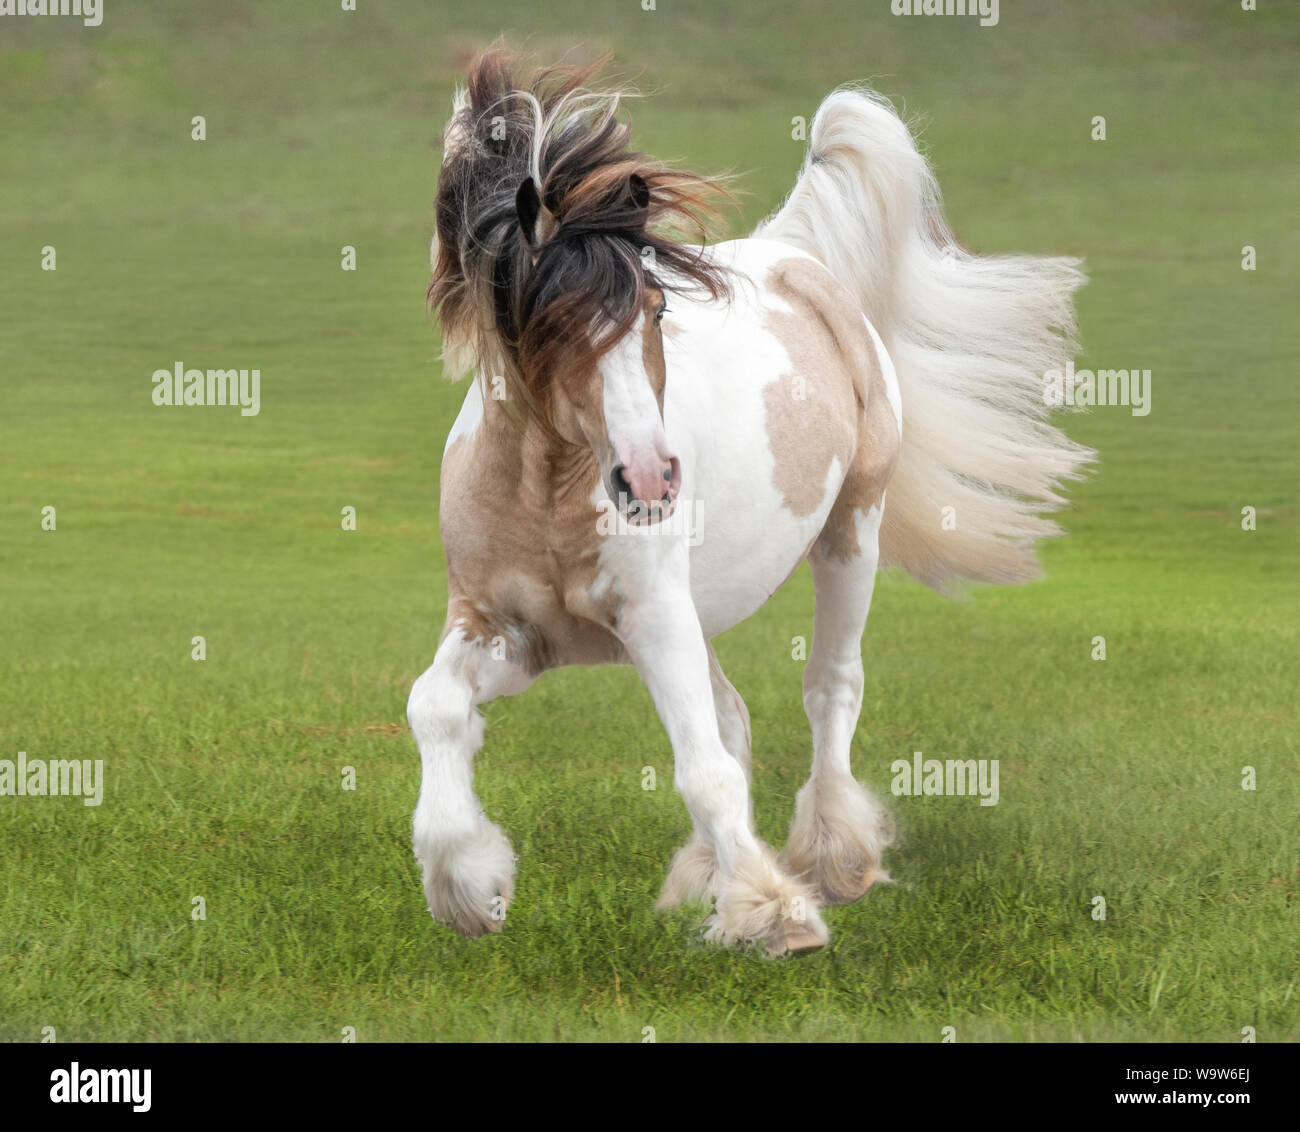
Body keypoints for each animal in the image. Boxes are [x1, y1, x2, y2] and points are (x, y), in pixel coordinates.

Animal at [412, 49, 1092, 955]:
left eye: (656, 306)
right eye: (548, 322)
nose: (651, 480)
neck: (545, 492)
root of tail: (791, 257)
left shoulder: (652, 618)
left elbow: (703, 769)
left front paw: (778, 916)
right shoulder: (511, 630)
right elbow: (434, 707)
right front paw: (467, 887)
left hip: (850, 536)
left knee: (830, 689)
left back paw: (833, 860)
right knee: (732, 718)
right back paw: (714, 874)